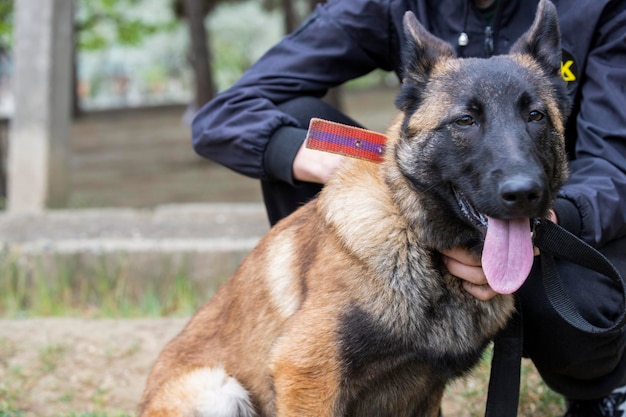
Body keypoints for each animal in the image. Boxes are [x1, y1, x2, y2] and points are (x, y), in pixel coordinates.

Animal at [139, 1, 568, 414]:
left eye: (535, 116)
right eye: (465, 120)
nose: (524, 193)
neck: (419, 244)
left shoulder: (425, 394)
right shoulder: (306, 372)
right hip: (216, 390)